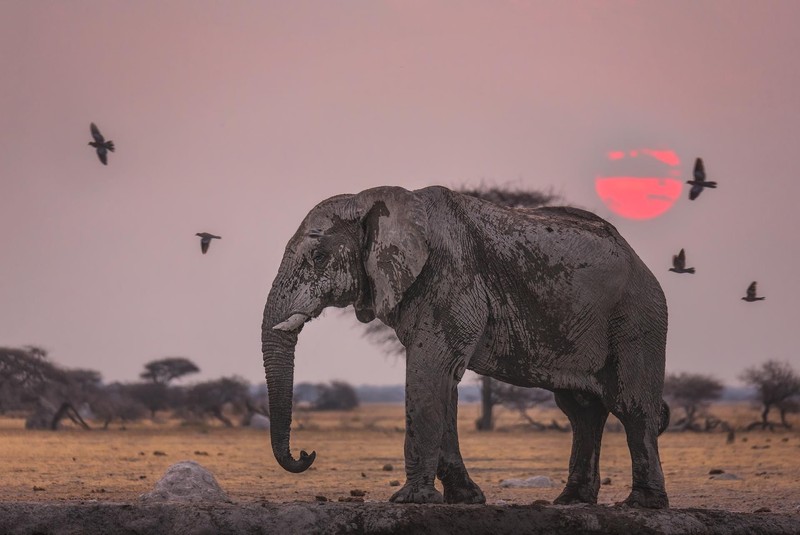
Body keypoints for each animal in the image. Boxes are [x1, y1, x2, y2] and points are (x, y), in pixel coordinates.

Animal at [260, 186, 668, 508]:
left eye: (318, 257)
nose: (306, 453)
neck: (374, 200)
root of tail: (640, 261)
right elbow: (443, 382)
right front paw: (466, 499)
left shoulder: (450, 276)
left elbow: (430, 370)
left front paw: (411, 501)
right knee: (581, 410)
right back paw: (571, 501)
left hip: (637, 318)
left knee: (631, 406)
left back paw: (642, 504)